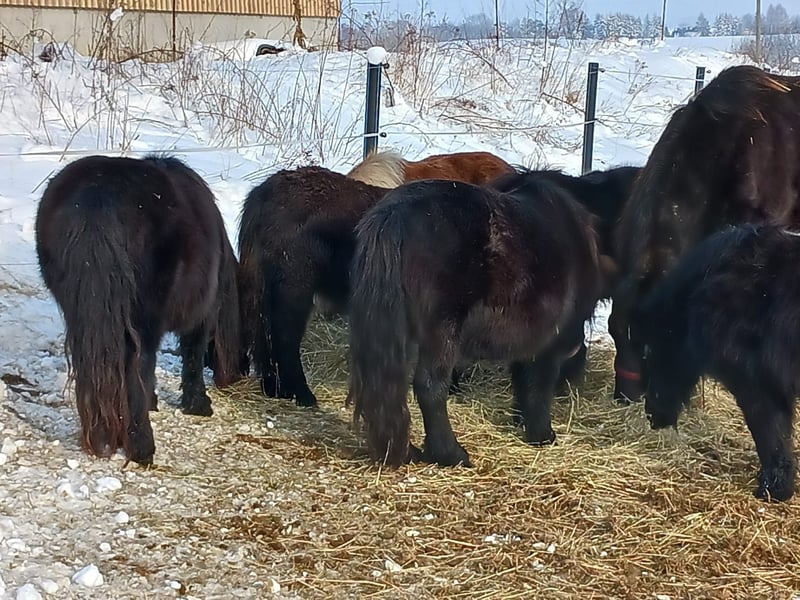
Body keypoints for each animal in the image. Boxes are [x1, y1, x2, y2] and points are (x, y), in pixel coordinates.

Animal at [35, 154, 242, 465]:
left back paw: (100, 436)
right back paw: (142, 447)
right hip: (142, 321)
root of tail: (96, 198)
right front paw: (198, 404)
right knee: (137, 369)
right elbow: (192, 356)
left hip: (84, 316)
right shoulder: (202, 316)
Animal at [347, 173, 614, 468]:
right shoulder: (547, 343)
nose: (576, 348)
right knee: (430, 387)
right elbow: (539, 384)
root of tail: (395, 216)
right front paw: (542, 434)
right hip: (442, 333)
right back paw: (451, 454)